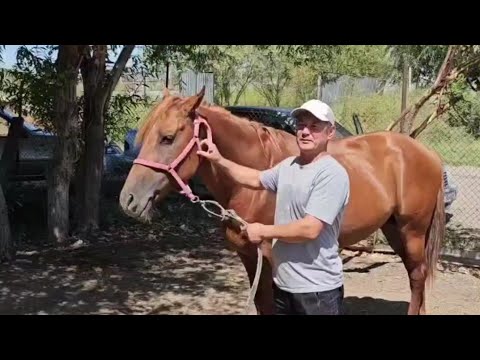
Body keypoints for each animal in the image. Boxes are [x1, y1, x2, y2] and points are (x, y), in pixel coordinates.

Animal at [118, 87, 444, 316]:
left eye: (167, 137)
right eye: (145, 136)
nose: (128, 200)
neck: (252, 185)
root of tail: (427, 153)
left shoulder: (269, 258)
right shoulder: (250, 257)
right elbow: (262, 306)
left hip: (412, 231)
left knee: (417, 276)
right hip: (393, 228)